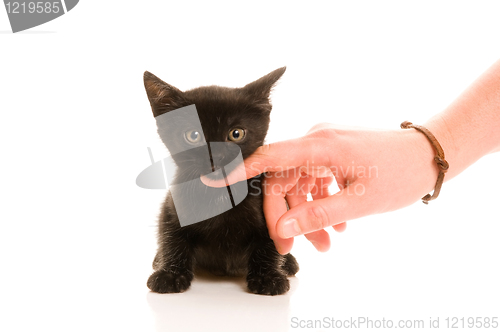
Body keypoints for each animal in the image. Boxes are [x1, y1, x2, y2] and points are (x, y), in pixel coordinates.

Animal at [142, 67, 296, 296]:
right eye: (193, 135)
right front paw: (170, 274)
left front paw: (268, 277)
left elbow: (270, 243)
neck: (220, 192)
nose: (216, 156)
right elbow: (171, 237)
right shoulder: (172, 206)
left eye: (236, 134)